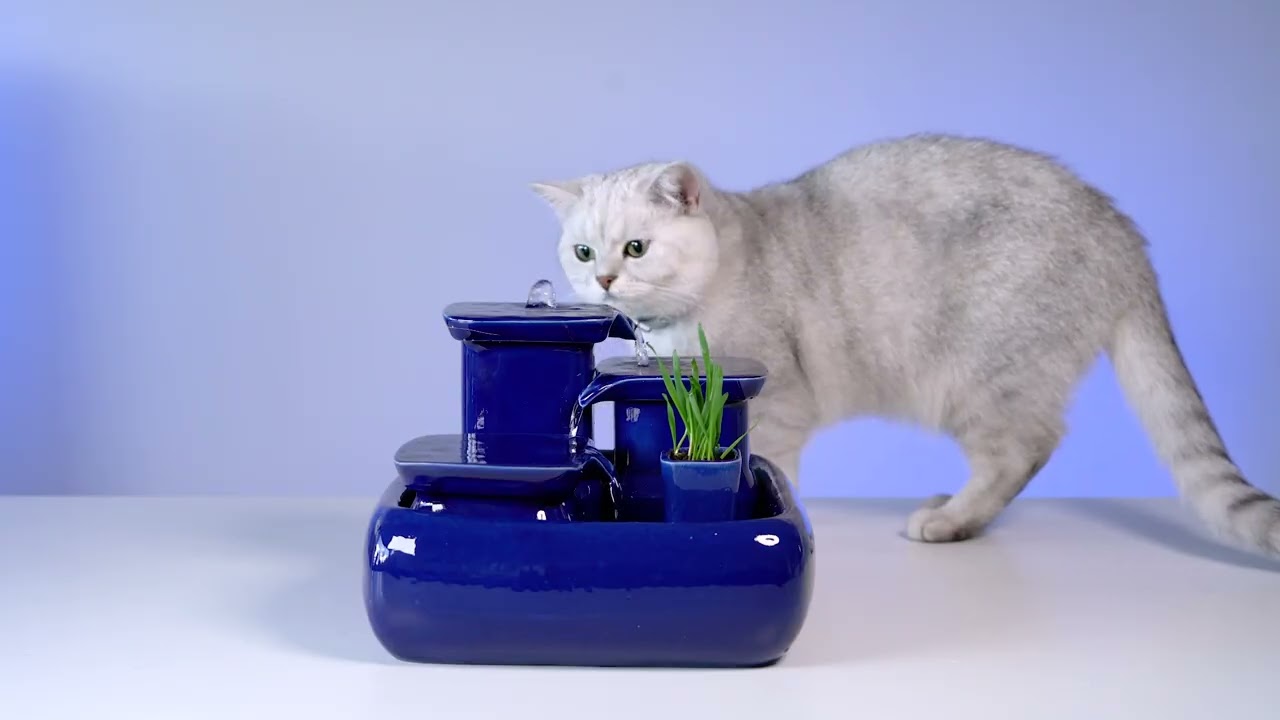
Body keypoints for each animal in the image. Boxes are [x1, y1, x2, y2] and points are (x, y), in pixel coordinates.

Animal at [530, 133, 1279, 558]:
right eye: (583, 252)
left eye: (636, 248)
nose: (603, 279)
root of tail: (1120, 227)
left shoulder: (772, 406)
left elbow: (771, 474)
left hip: (983, 376)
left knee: (1024, 450)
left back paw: (949, 521)